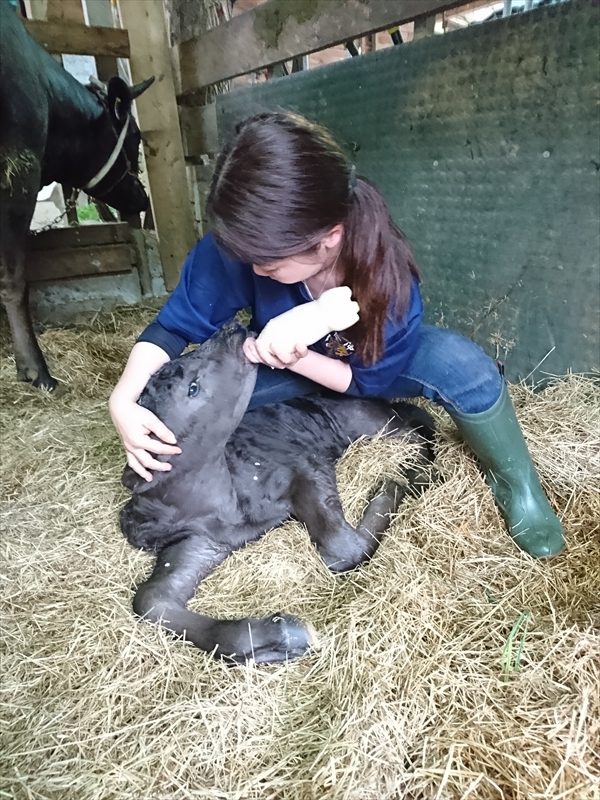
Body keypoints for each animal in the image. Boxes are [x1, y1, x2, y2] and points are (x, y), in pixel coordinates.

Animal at [119, 324, 434, 664]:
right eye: (193, 388)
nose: (232, 329)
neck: (228, 504)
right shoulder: (199, 542)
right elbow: (150, 600)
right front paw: (283, 638)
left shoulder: (304, 465)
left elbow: (341, 547)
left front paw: (388, 488)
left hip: (365, 418)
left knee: (417, 430)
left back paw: (415, 473)